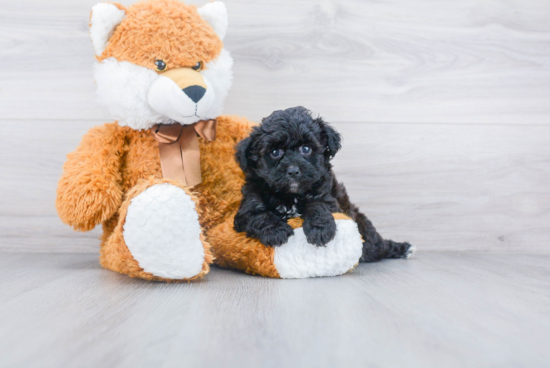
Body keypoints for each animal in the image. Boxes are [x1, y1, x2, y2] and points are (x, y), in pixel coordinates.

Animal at [234, 106, 414, 262]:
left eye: (306, 148)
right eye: (275, 152)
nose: (293, 170)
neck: (291, 195)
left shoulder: (328, 197)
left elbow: (318, 204)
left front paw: (319, 229)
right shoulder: (245, 210)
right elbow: (259, 215)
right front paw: (276, 231)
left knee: (377, 246)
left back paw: (401, 248)